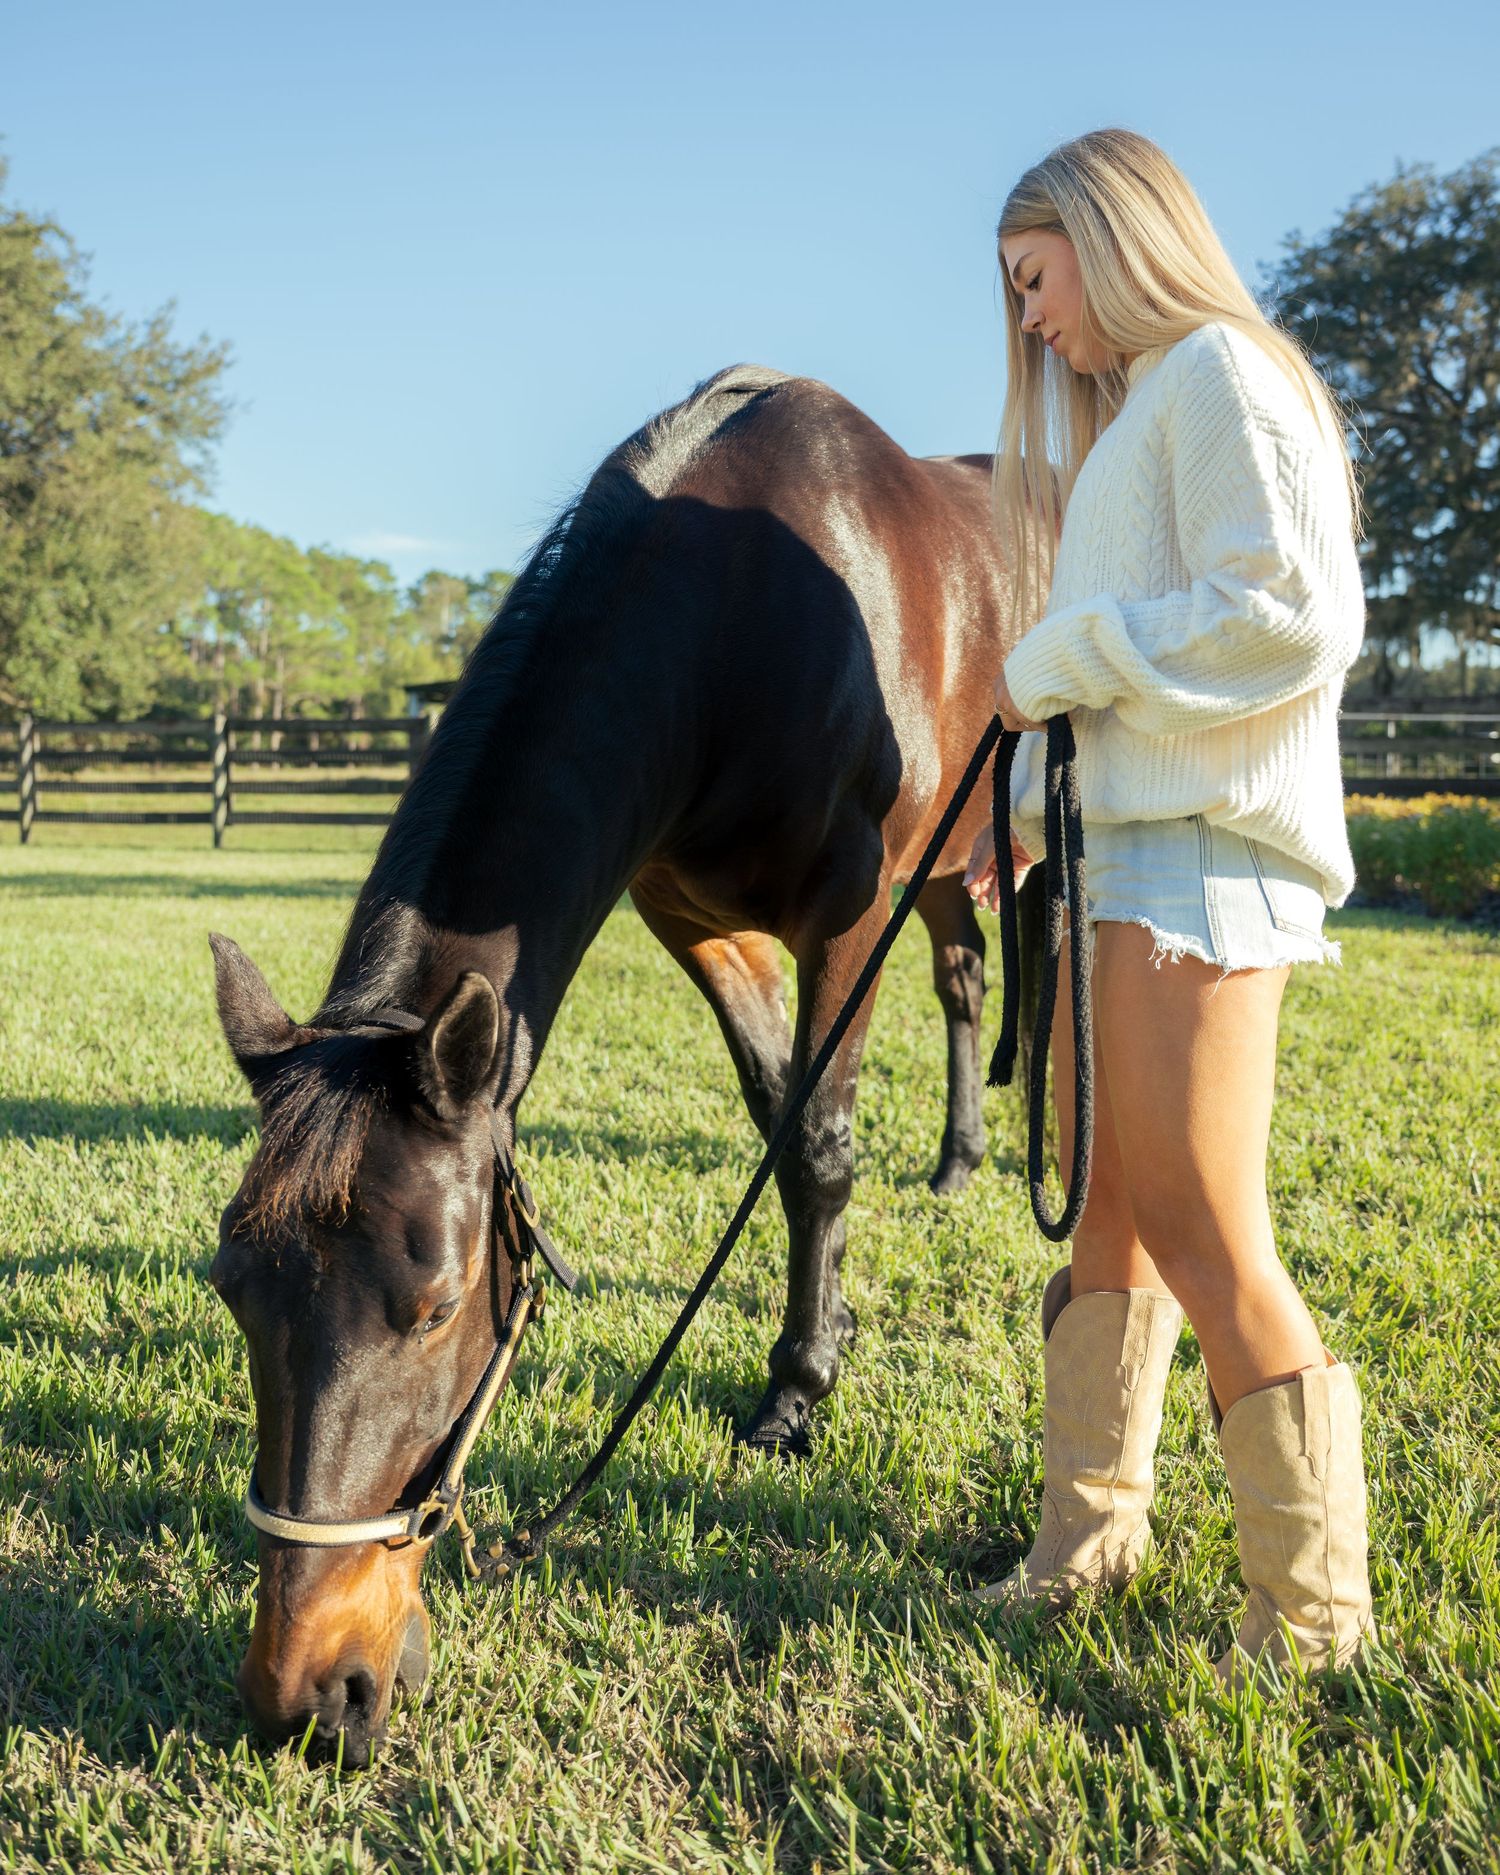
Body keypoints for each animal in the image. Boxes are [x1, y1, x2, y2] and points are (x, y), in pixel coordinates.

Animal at [209, 364, 1027, 1765]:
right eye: (230, 1290)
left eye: (436, 1309)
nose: (305, 1696)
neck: (740, 618)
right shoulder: (691, 917)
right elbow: (778, 1121)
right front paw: (830, 1328)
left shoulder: (846, 917)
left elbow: (818, 1149)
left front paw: (799, 1392)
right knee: (969, 978)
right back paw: (961, 1158)